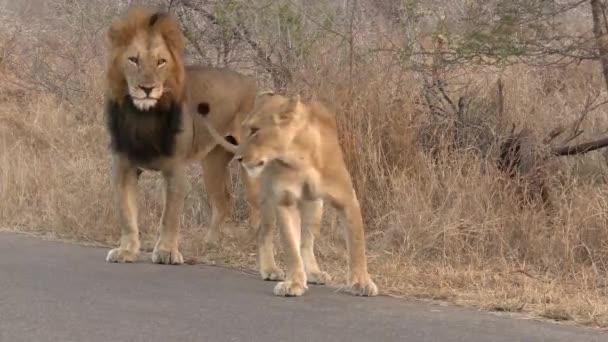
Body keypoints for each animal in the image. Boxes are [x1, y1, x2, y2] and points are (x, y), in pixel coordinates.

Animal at [104, 7, 258, 264]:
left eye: (161, 62)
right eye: (133, 60)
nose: (147, 88)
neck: (143, 116)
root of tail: (251, 82)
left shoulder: (175, 170)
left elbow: (170, 216)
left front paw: (166, 252)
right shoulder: (123, 168)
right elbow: (126, 214)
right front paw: (126, 250)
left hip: (250, 162)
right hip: (213, 161)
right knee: (223, 201)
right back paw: (209, 243)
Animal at [202, 93, 378, 296]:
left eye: (255, 130)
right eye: (247, 130)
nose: (239, 158)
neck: (299, 157)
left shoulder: (347, 199)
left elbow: (357, 246)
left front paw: (362, 283)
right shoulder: (284, 201)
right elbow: (291, 247)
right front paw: (294, 283)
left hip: (315, 206)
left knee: (307, 242)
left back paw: (314, 273)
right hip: (264, 199)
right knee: (263, 232)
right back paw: (270, 269)